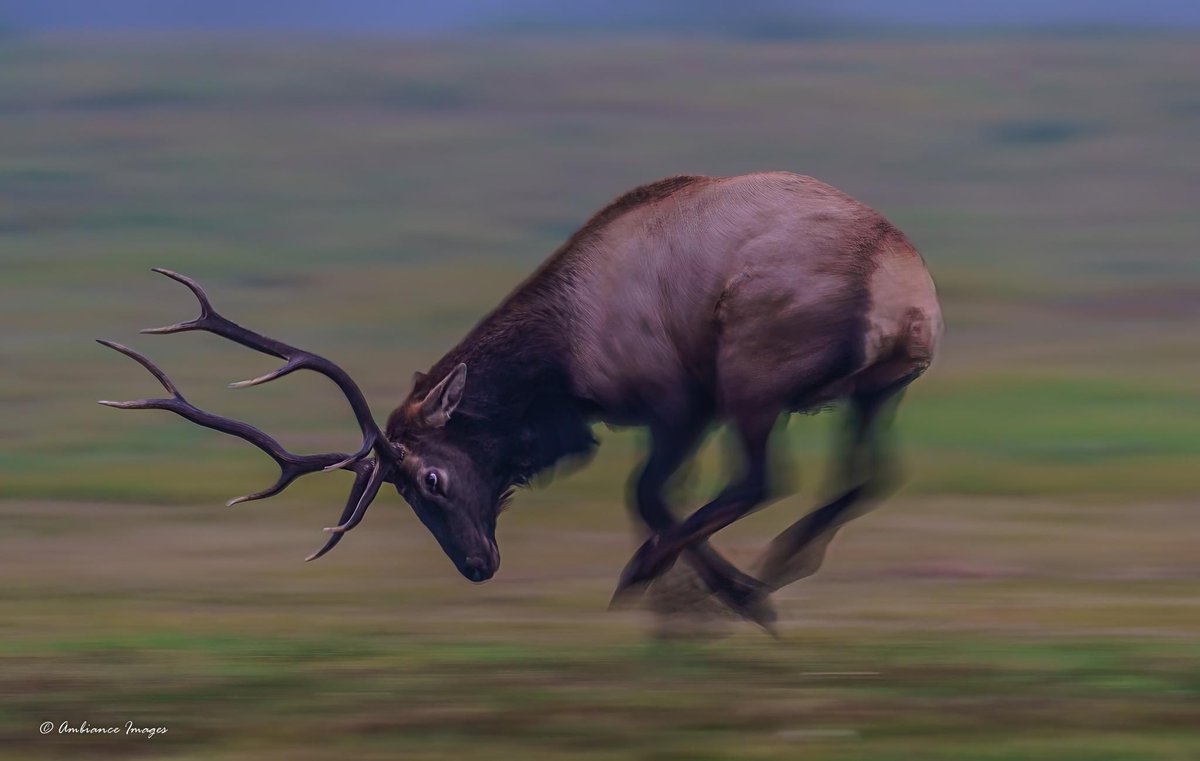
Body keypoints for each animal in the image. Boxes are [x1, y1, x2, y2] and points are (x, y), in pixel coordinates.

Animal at [100, 170, 936, 624]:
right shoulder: (676, 410)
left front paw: (660, 584)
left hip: (753, 373)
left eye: (430, 477)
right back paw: (779, 566)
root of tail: (902, 293)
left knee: (769, 476)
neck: (560, 357)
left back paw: (745, 583)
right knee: (870, 473)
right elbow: (660, 499)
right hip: (881, 387)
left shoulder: (674, 398)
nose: (476, 564)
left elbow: (647, 497)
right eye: (401, 492)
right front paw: (688, 594)